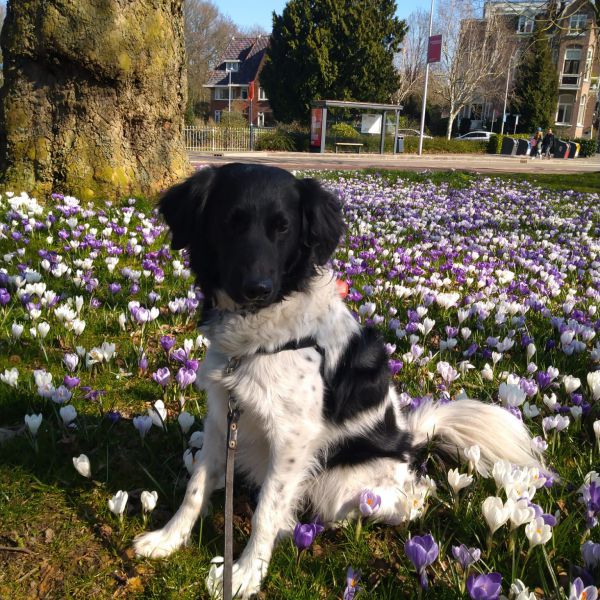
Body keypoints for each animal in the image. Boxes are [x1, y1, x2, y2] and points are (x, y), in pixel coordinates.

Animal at [135, 163, 540, 596]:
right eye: (231, 222)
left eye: (283, 227)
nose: (258, 288)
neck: (257, 336)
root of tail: (410, 441)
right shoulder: (222, 416)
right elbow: (196, 486)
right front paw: (167, 539)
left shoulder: (292, 437)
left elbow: (266, 511)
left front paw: (244, 574)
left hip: (348, 485)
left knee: (413, 497)